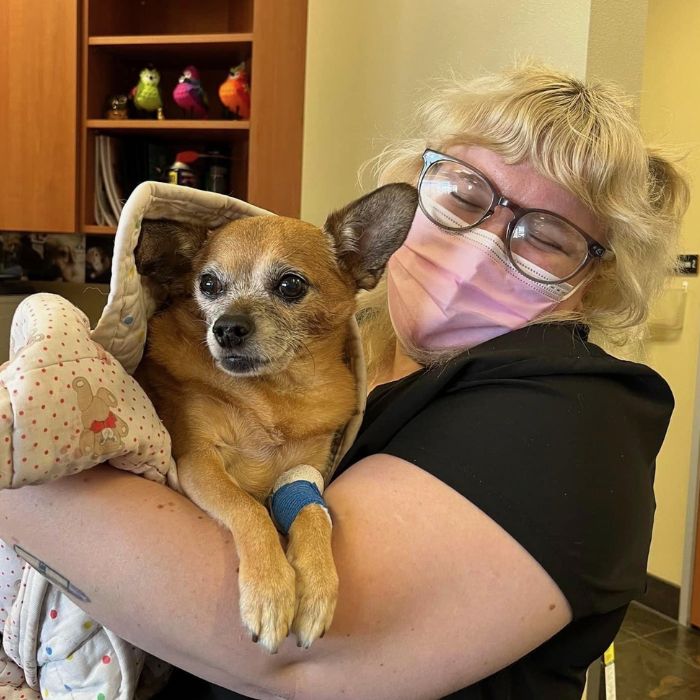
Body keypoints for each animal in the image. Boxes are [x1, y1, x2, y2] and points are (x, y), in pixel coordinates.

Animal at [134, 185, 416, 652]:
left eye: (289, 284)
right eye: (207, 284)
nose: (226, 328)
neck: (276, 393)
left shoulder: (303, 470)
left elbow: (313, 515)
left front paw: (317, 585)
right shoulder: (198, 462)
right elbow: (249, 509)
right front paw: (270, 591)